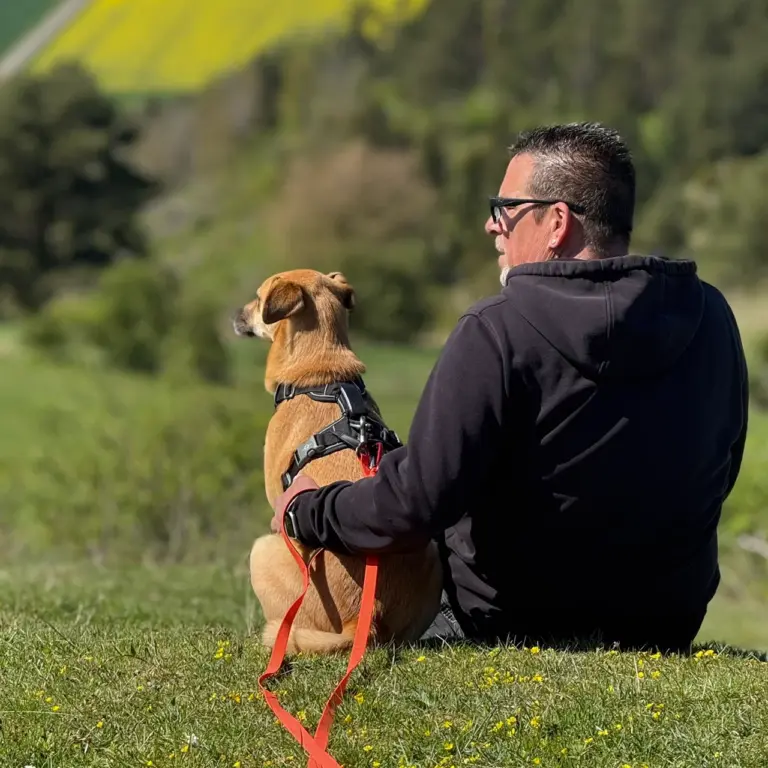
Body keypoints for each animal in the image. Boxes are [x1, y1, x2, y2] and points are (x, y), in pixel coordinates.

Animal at [233, 268, 443, 654]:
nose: (236, 314)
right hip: (433, 557)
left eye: (258, 296)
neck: (321, 373)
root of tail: (361, 620)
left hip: (262, 553)